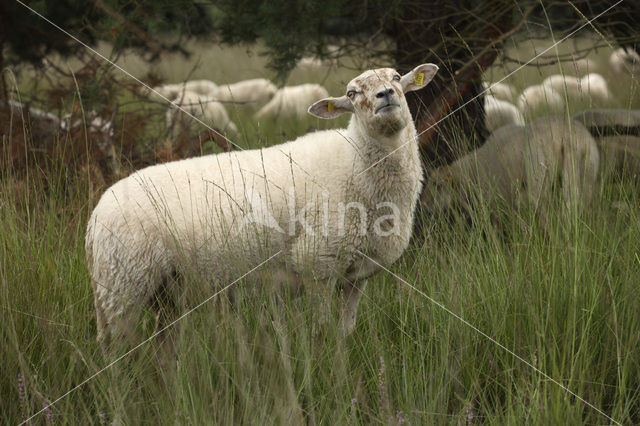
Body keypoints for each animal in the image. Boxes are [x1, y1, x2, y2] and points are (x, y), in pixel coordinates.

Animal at [86, 62, 440, 350]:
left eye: (397, 77)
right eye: (351, 94)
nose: (385, 96)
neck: (355, 163)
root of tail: (97, 213)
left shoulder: (356, 275)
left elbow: (344, 333)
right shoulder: (318, 264)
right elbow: (322, 332)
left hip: (163, 291)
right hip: (123, 283)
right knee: (115, 349)